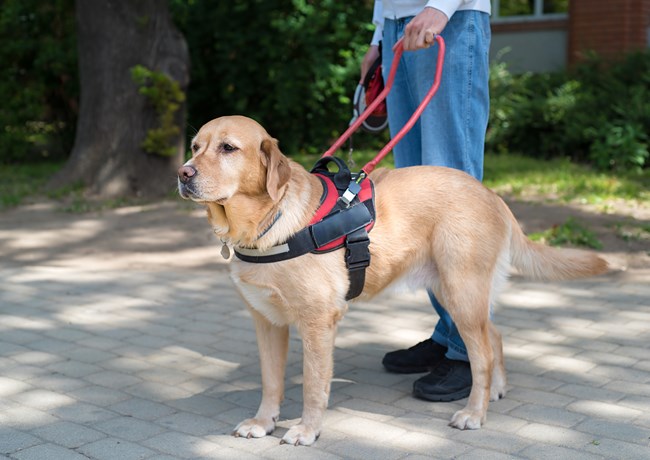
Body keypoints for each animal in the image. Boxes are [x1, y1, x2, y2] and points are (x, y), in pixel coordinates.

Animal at [177, 115, 608, 446]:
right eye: (196, 146)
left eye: (228, 148)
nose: (183, 172)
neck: (268, 222)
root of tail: (491, 194)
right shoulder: (267, 322)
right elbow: (271, 382)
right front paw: (263, 422)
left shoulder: (317, 323)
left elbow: (314, 386)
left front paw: (307, 430)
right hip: (455, 292)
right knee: (495, 336)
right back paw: (497, 389)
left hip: (460, 293)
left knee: (481, 355)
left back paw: (474, 412)